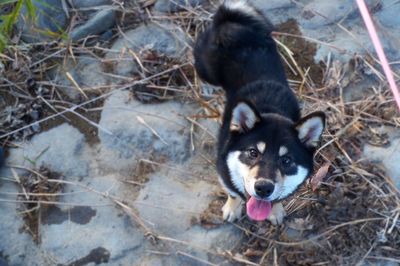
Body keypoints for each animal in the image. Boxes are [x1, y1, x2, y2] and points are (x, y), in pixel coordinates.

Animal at [194, 0, 324, 224]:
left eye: (286, 161)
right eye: (252, 153)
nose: (263, 188)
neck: (270, 109)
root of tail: (231, 22)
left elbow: (279, 198)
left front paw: (276, 211)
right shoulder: (223, 170)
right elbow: (234, 193)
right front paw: (232, 209)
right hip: (207, 67)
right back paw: (206, 87)